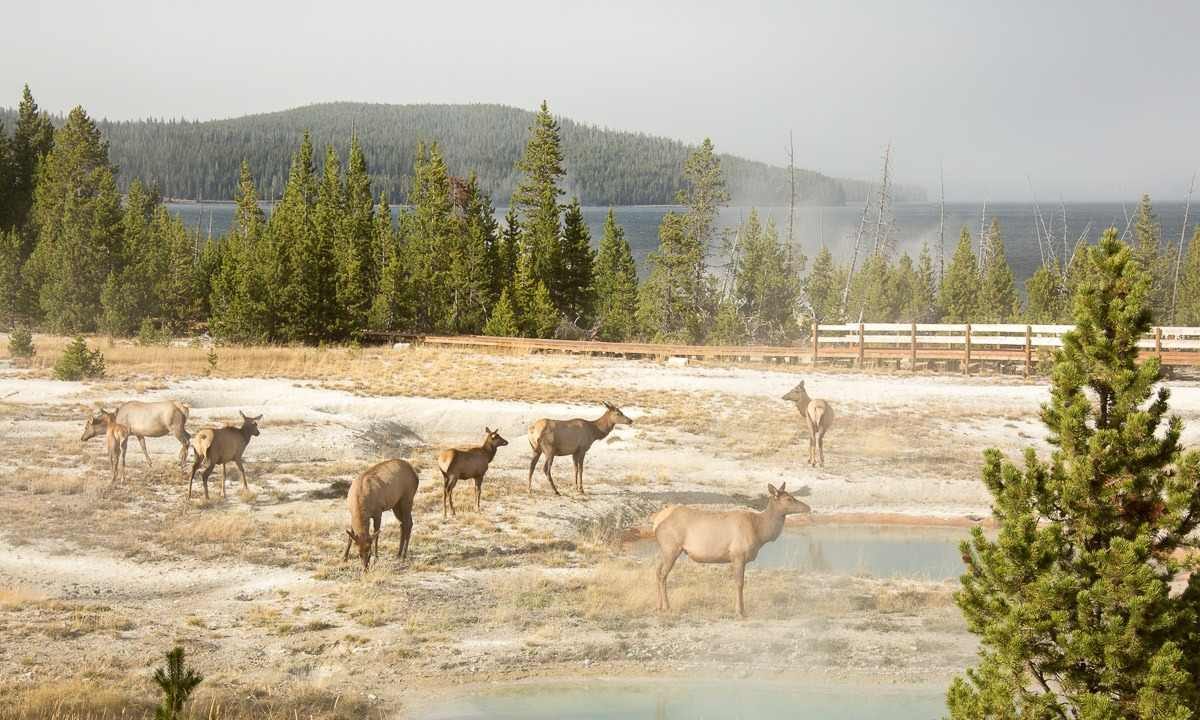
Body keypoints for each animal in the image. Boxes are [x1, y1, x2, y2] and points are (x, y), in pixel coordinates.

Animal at [652, 484, 811, 619]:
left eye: (792, 495)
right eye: (789, 499)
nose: (808, 507)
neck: (760, 532)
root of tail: (656, 521)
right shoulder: (738, 554)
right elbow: (740, 583)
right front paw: (740, 611)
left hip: (665, 550)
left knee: (657, 571)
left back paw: (658, 606)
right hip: (671, 548)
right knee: (663, 575)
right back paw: (666, 606)